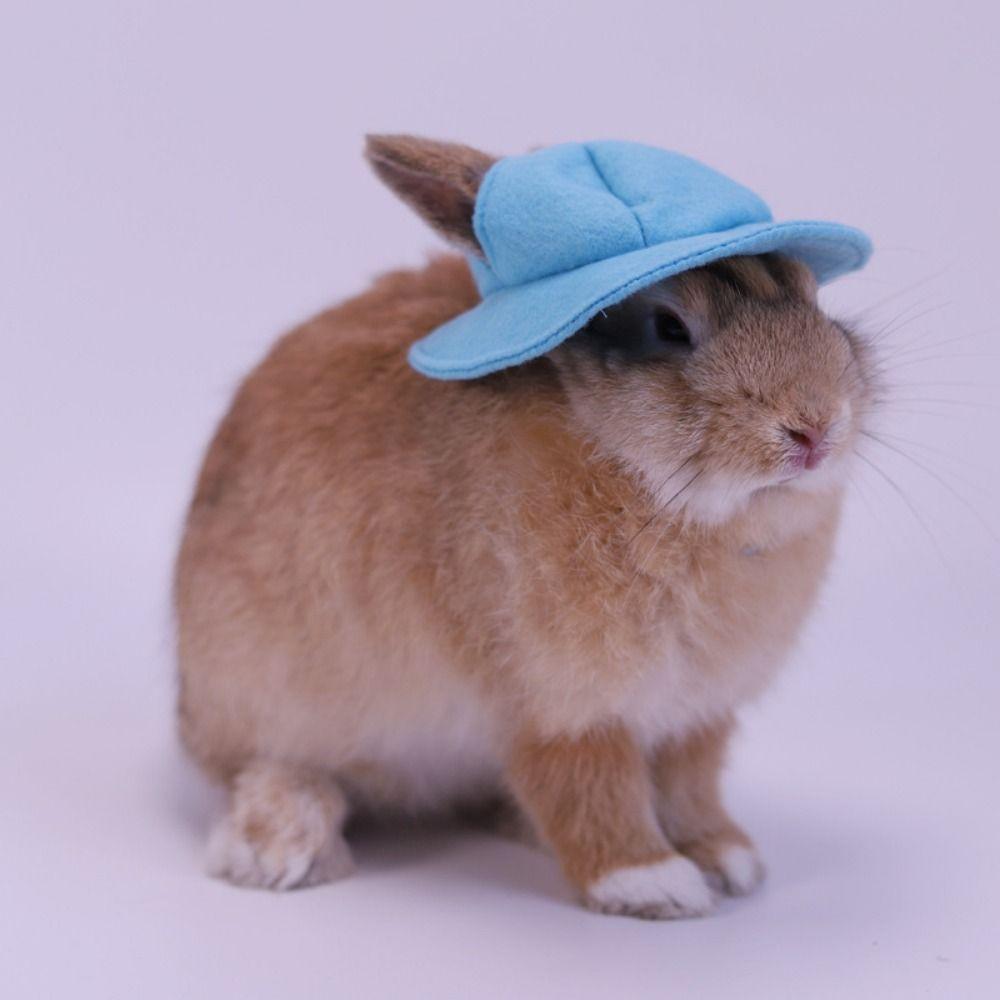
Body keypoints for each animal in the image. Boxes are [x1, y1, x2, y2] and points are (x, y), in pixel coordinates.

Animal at [174, 135, 878, 918]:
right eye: (669, 328)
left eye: (814, 298)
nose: (814, 428)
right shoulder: (556, 701)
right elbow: (587, 786)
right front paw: (652, 883)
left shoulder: (696, 714)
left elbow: (690, 786)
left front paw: (729, 859)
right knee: (269, 769)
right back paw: (281, 847)